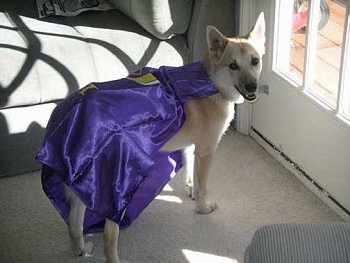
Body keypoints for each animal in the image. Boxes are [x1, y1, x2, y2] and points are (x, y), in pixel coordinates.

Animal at [66, 11, 266, 262]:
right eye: (232, 65)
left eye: (255, 61)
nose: (252, 87)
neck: (210, 82)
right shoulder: (207, 151)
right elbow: (203, 185)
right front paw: (202, 207)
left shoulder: (190, 147)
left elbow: (190, 172)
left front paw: (190, 190)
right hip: (118, 194)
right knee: (109, 236)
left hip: (84, 186)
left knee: (73, 220)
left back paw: (80, 249)